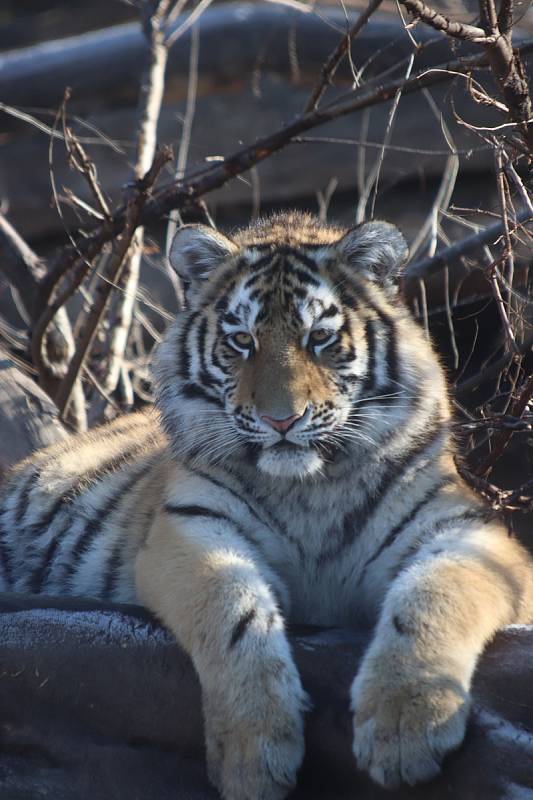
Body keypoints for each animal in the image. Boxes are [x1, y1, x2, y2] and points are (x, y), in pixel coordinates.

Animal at [1, 212, 532, 800]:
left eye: (319, 337)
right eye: (241, 341)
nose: (282, 420)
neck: (310, 488)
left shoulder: (468, 530)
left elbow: (435, 595)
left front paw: (407, 726)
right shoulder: (191, 528)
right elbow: (231, 607)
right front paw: (252, 753)